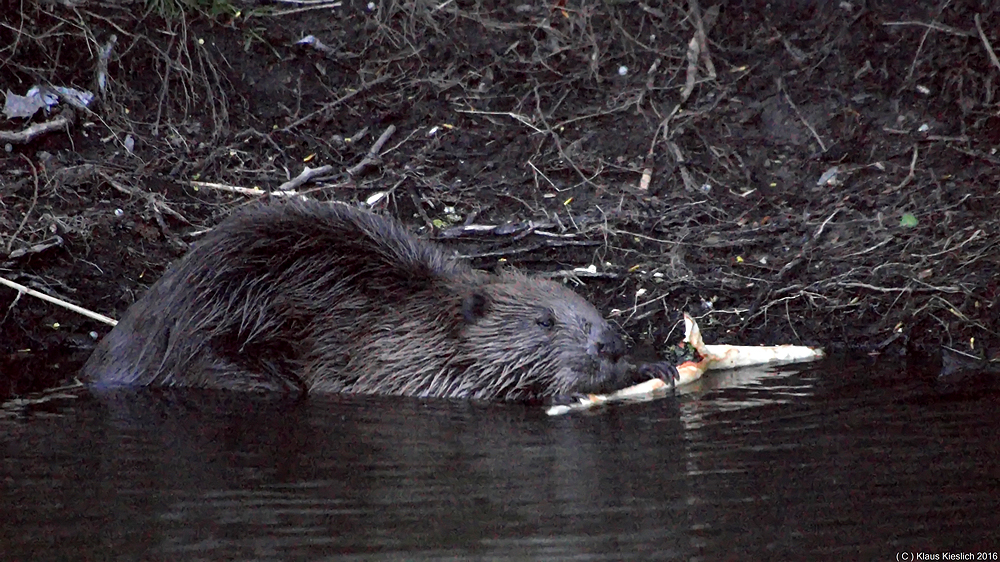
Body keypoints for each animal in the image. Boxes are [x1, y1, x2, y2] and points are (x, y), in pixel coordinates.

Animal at [84, 199, 664, 400]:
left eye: (592, 311)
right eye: (544, 322)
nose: (609, 344)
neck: (420, 314)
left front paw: (650, 365)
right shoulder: (391, 355)